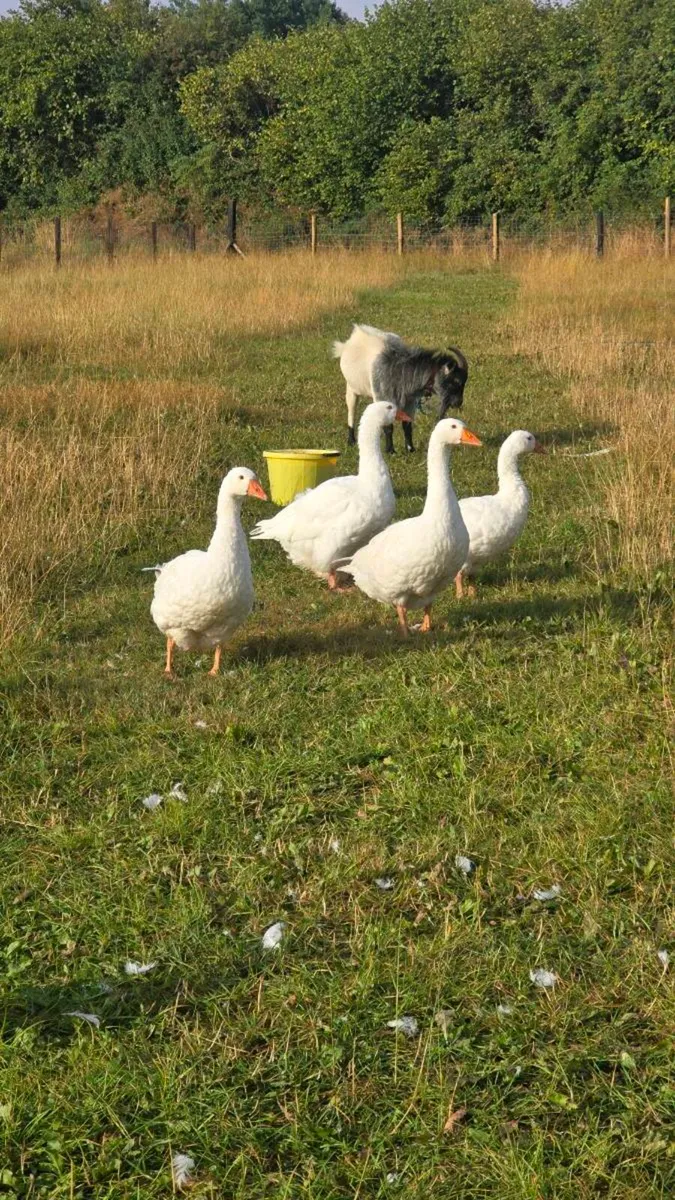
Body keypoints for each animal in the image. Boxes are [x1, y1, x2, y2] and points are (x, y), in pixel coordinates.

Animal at [332, 324, 468, 452]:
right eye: (456, 381)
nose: (458, 402)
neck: (399, 369)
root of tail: (351, 339)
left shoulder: (410, 402)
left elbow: (407, 425)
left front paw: (410, 449)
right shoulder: (384, 398)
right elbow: (388, 427)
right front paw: (390, 450)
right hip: (351, 387)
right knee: (351, 411)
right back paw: (351, 440)